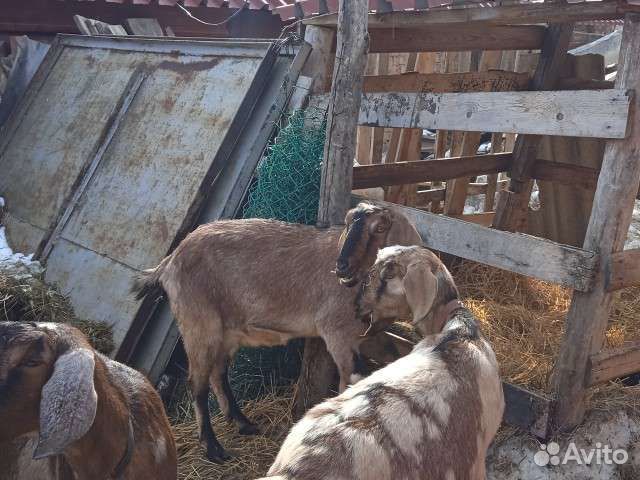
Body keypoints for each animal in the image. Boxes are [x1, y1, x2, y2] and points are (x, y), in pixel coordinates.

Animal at [131, 202, 422, 462]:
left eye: (380, 227)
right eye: (349, 223)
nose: (342, 267)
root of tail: (170, 261)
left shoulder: (366, 336)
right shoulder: (337, 332)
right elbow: (350, 380)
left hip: (227, 330)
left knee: (218, 374)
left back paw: (243, 423)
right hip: (200, 323)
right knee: (197, 383)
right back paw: (213, 449)